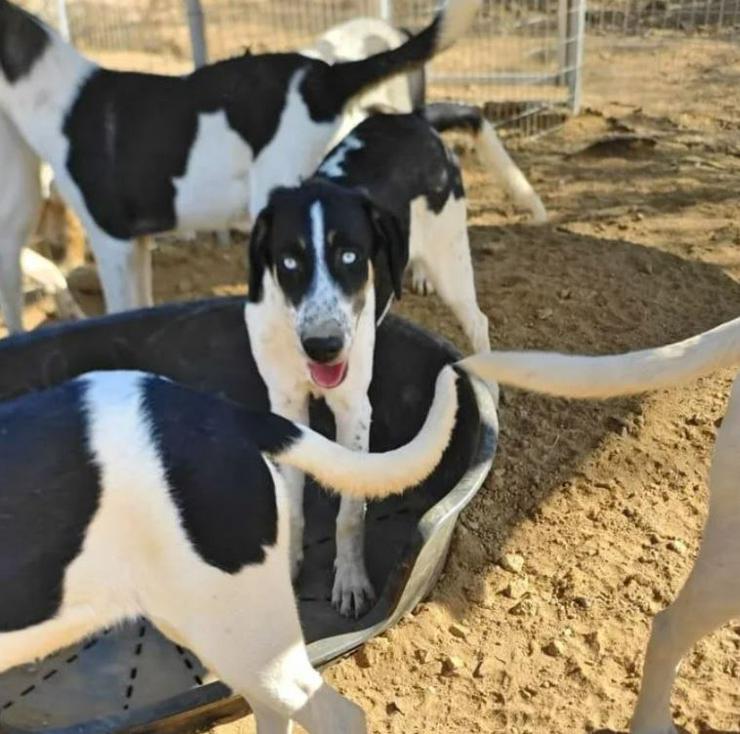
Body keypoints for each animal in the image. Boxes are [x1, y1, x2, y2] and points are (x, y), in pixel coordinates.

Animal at [246, 103, 536, 620]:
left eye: (350, 256)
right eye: (289, 262)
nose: (324, 346)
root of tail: (414, 117)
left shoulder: (354, 409)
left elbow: (349, 511)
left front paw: (351, 581)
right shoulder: (286, 406)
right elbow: (294, 503)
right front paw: (290, 565)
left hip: (451, 260)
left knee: (478, 320)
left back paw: (491, 386)